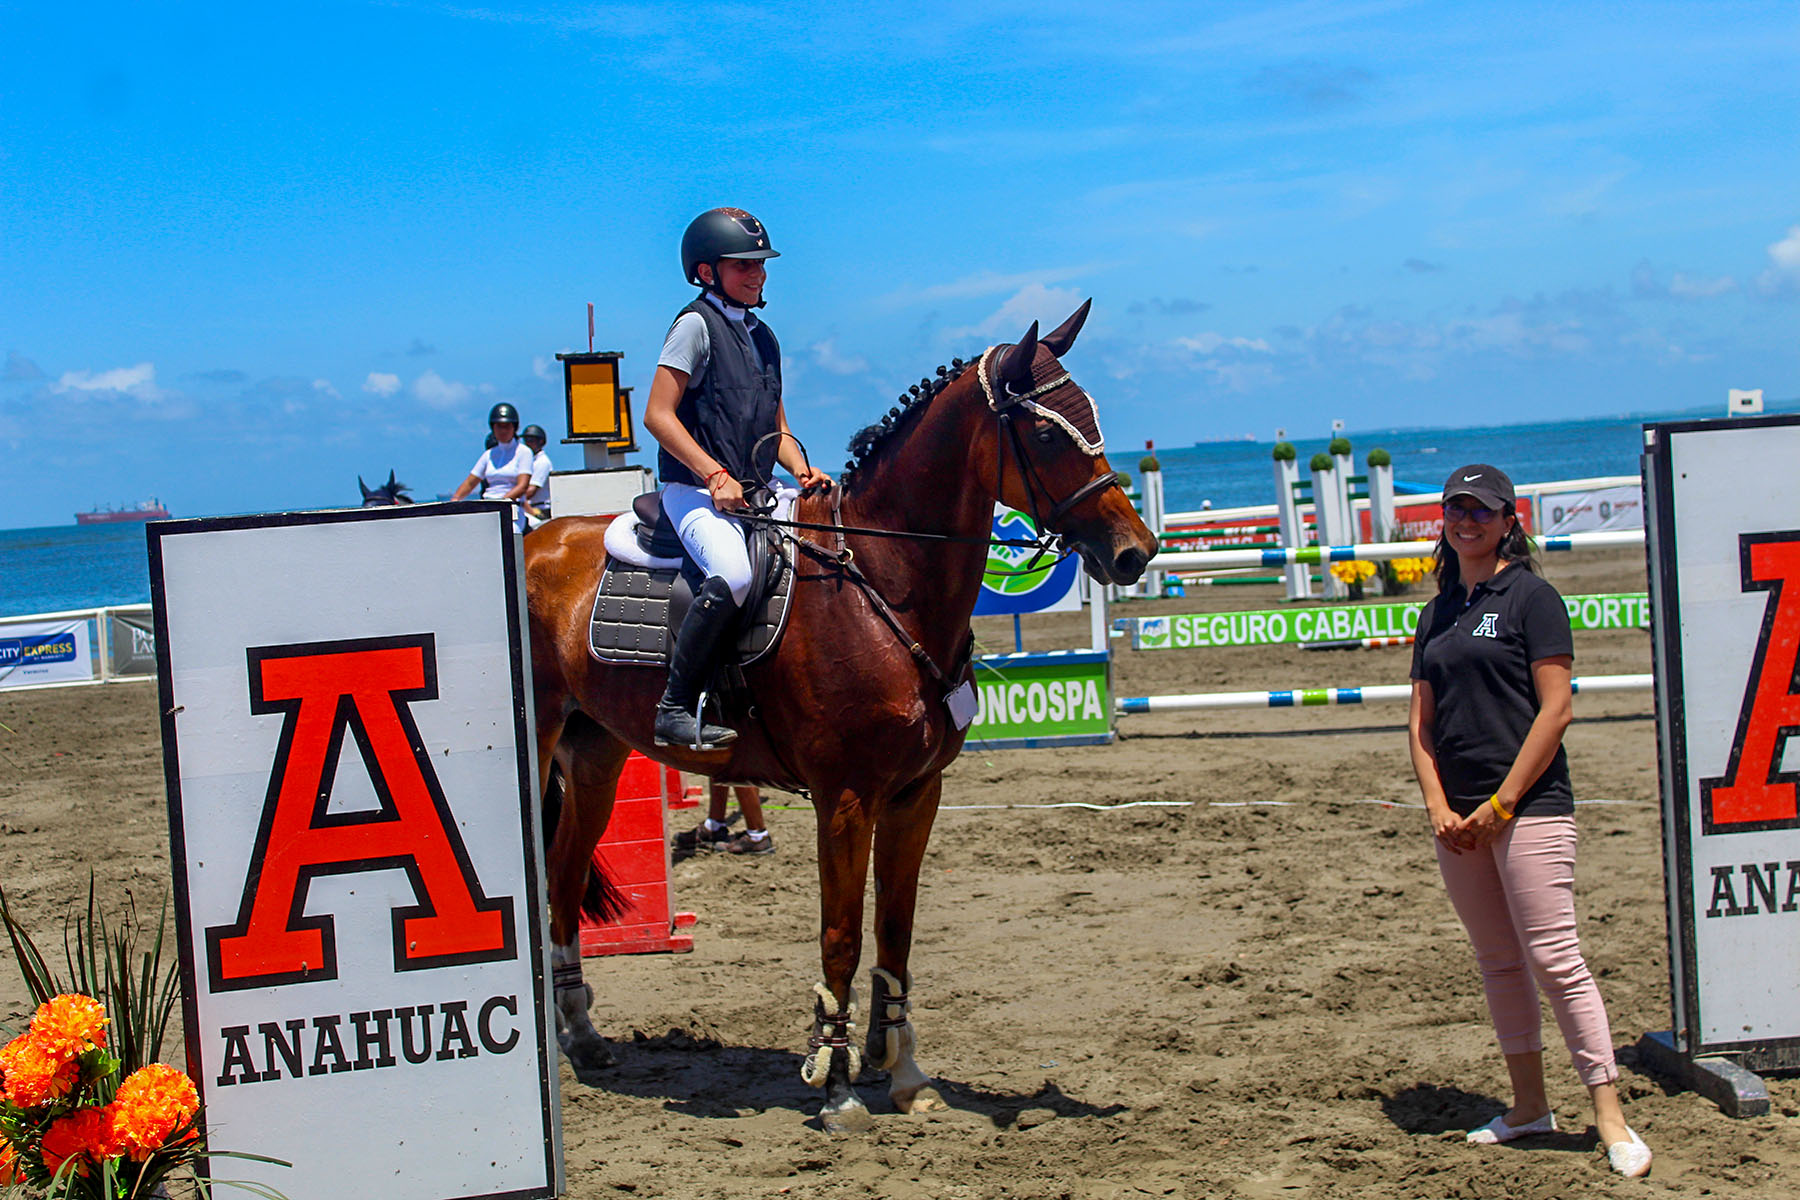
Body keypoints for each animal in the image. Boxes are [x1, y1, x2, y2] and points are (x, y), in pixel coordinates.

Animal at [525, 302, 1159, 1137]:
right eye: (1051, 434)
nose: (1135, 553)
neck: (884, 583)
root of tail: (537, 537)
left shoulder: (916, 794)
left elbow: (895, 931)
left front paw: (906, 1073)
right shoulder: (846, 799)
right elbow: (841, 938)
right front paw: (837, 1087)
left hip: (595, 758)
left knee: (566, 880)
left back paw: (583, 1035)